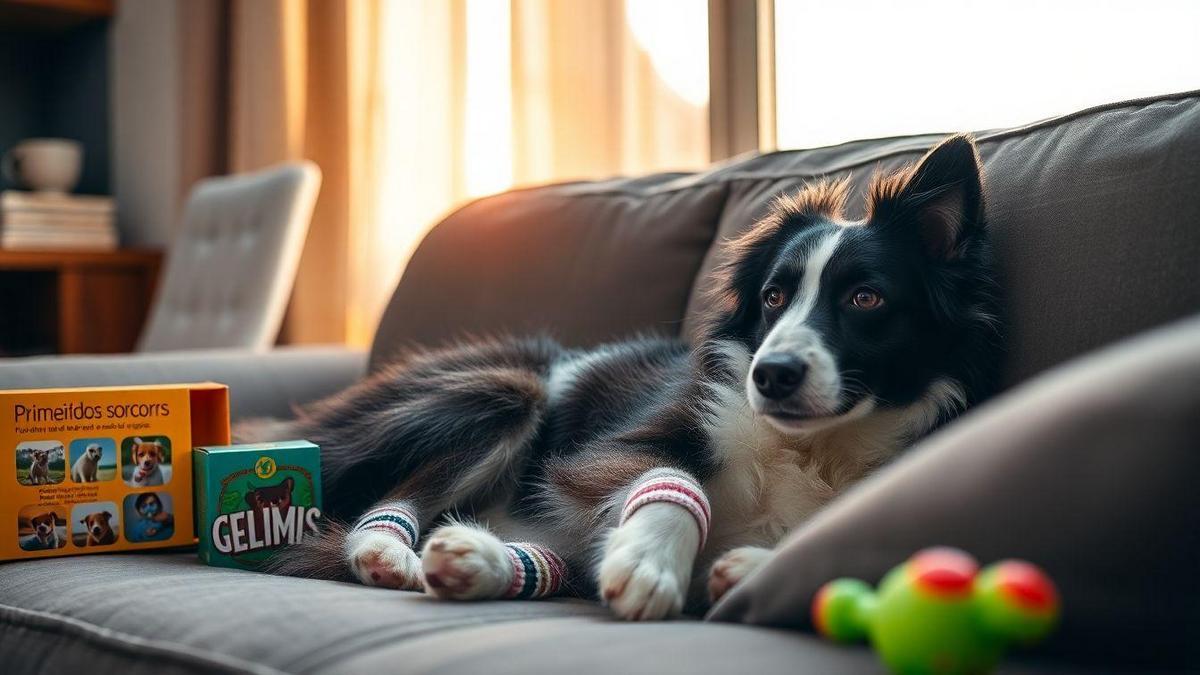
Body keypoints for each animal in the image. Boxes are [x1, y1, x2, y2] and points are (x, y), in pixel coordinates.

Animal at [253, 133, 1003, 619]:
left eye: (866, 298)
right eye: (773, 297)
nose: (771, 376)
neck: (810, 446)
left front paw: (746, 568)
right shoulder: (625, 442)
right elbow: (669, 477)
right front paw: (647, 566)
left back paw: (471, 558)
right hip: (507, 391)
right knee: (390, 502)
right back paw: (390, 554)